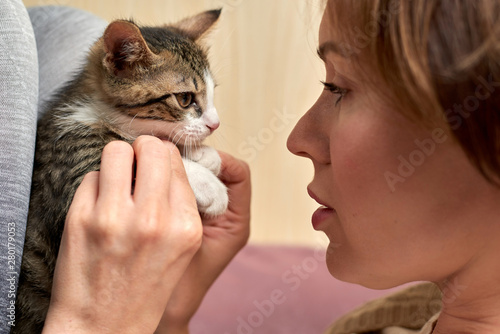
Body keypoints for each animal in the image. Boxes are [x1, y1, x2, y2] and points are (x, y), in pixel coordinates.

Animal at [12, 9, 227, 332]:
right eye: (186, 99)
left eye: (213, 94)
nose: (215, 124)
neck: (99, 113)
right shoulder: (70, 167)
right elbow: (133, 147)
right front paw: (208, 183)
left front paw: (202, 154)